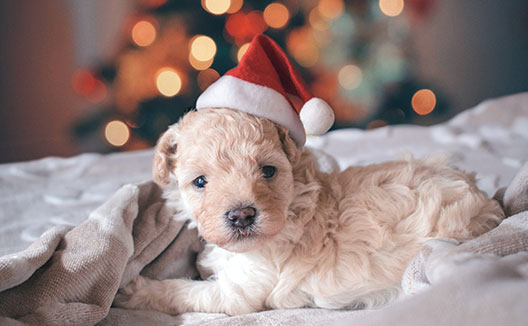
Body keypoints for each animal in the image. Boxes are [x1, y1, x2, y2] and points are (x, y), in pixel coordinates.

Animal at [114, 108, 504, 314]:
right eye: (199, 182)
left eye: (268, 171)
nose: (242, 216)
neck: (292, 206)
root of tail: (488, 203)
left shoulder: (238, 294)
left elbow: (183, 291)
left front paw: (134, 289)